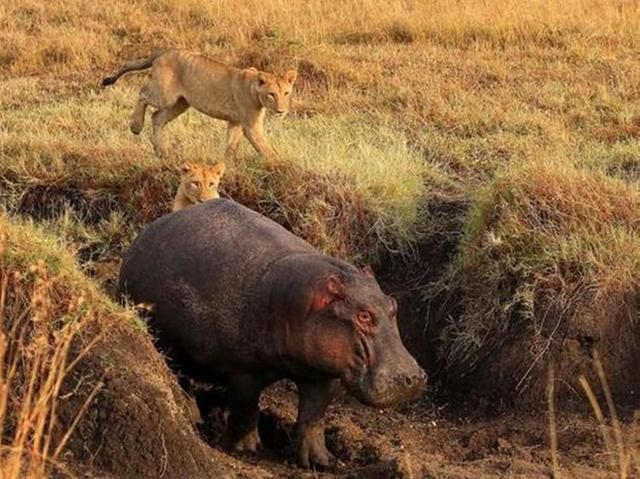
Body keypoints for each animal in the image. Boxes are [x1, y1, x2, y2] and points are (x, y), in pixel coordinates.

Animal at [102, 50, 298, 160]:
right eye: (271, 94)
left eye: (286, 93)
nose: (281, 111)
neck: (254, 90)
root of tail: (162, 52)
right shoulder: (250, 126)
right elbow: (265, 148)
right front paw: (280, 165)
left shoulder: (235, 122)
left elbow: (231, 146)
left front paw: (226, 164)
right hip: (165, 95)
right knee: (142, 93)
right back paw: (135, 126)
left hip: (180, 103)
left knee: (156, 117)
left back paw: (162, 152)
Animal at [117, 199, 428, 468]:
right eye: (363, 315)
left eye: (393, 304)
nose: (412, 377)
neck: (302, 301)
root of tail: (145, 233)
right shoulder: (242, 371)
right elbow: (246, 409)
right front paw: (247, 450)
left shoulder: (321, 372)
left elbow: (314, 417)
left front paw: (323, 462)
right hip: (167, 343)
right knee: (179, 378)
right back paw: (192, 417)